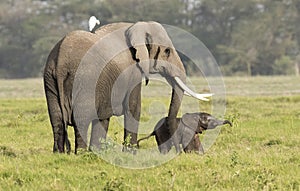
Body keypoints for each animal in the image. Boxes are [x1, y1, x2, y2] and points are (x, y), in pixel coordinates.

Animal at [44, 21, 211, 154]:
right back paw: (81, 153)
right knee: (81, 119)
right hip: (85, 78)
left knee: (57, 119)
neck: (137, 26)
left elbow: (103, 115)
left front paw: (99, 152)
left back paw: (59, 154)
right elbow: (134, 107)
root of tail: (61, 61)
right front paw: (131, 154)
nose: (178, 152)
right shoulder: (133, 70)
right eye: (167, 51)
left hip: (50, 79)